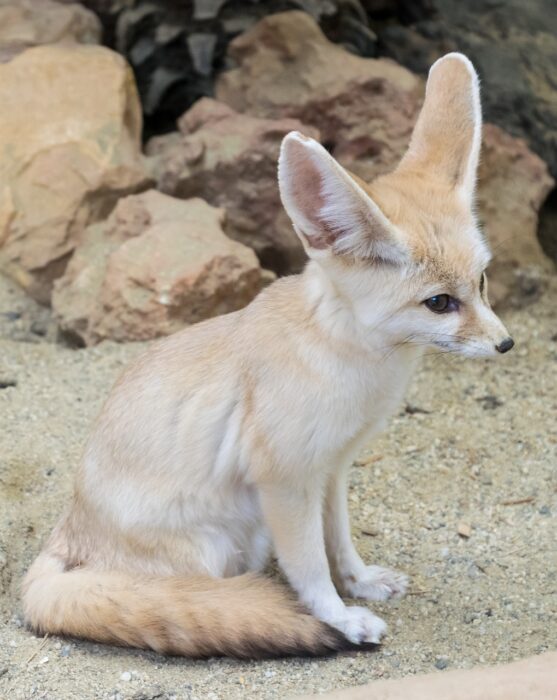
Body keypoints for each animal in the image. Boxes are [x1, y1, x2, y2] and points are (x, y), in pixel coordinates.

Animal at [23, 53, 516, 656]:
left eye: (483, 282)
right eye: (440, 303)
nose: (505, 343)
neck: (349, 359)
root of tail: (67, 532)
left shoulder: (332, 469)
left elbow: (339, 541)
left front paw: (360, 582)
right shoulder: (285, 481)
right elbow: (310, 566)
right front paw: (338, 617)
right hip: (221, 543)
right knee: (193, 596)